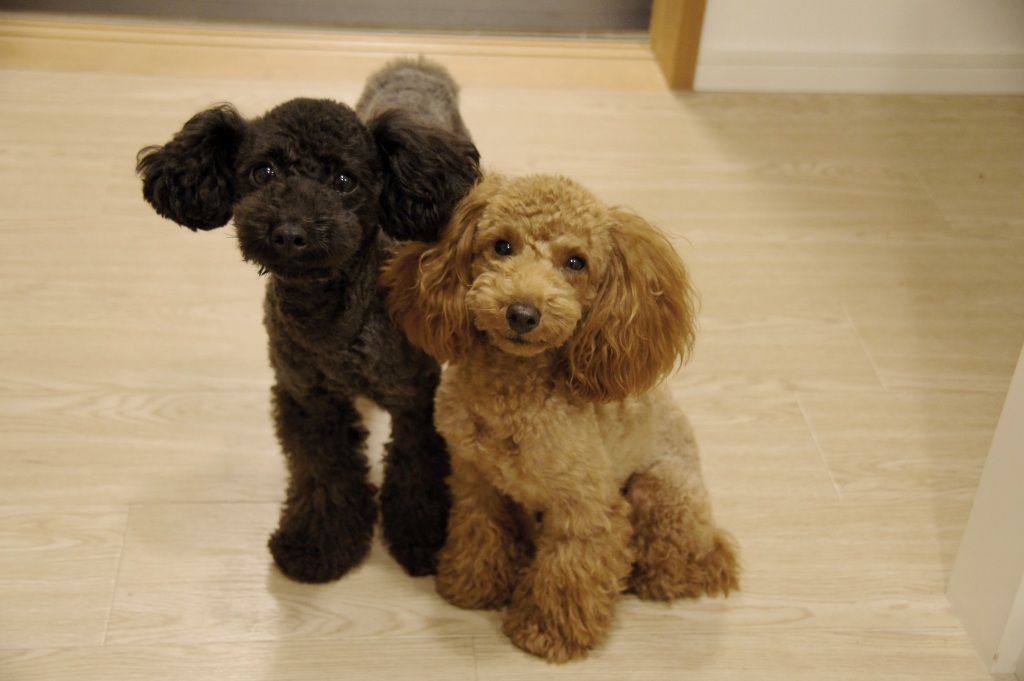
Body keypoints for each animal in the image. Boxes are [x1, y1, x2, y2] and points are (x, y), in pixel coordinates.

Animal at [136, 58, 480, 581]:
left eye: (344, 181)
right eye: (262, 172)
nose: (290, 232)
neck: (330, 318)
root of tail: (416, 66)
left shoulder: (414, 395)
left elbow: (417, 465)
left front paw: (423, 537)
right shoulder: (307, 396)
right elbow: (323, 472)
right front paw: (317, 544)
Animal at [382, 173, 739, 661]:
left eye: (576, 262)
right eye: (502, 246)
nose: (522, 313)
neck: (513, 395)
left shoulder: (584, 505)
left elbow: (570, 570)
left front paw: (546, 631)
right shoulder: (476, 478)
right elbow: (481, 532)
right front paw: (471, 587)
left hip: (661, 489)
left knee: (682, 564)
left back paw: (650, 576)